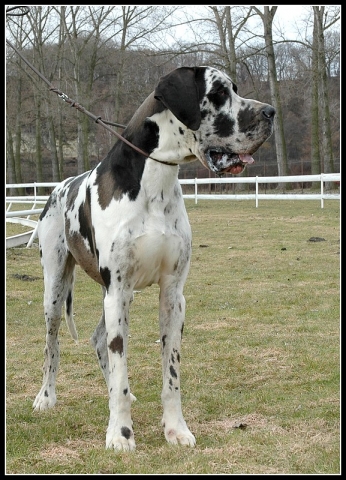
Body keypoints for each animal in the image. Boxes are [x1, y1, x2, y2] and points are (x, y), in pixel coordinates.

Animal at [33, 65, 276, 452]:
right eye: (219, 93)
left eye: (235, 89)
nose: (270, 112)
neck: (155, 182)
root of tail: (58, 187)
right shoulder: (116, 292)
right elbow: (119, 368)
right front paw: (120, 434)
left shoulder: (172, 295)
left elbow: (171, 375)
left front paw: (176, 429)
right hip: (56, 290)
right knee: (51, 345)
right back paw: (46, 397)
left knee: (98, 339)